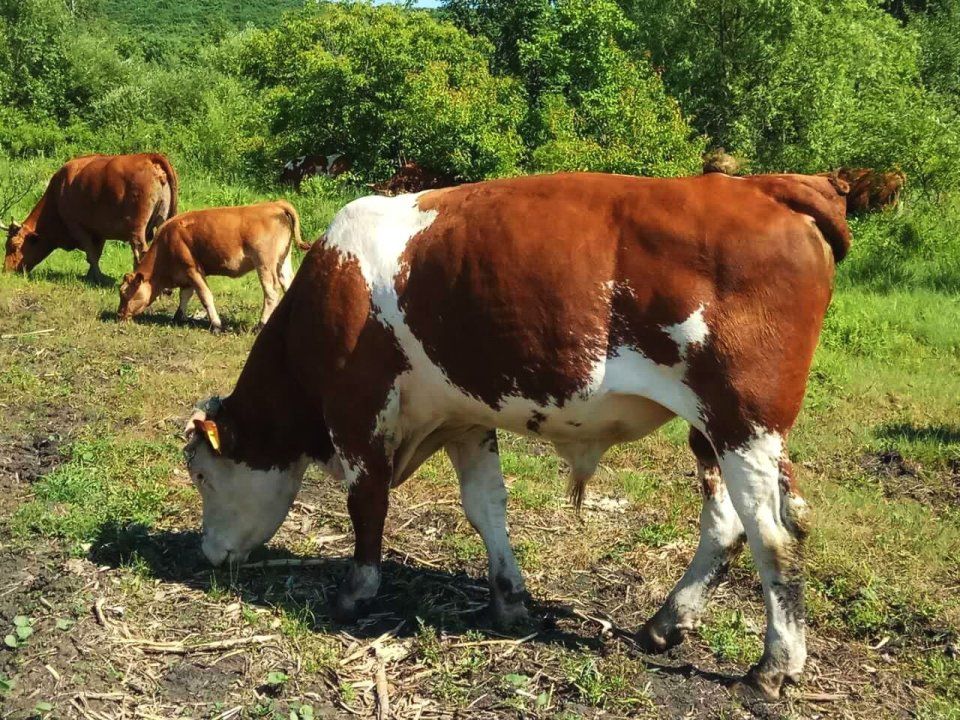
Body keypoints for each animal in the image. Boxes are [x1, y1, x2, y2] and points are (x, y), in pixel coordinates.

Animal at [3, 153, 179, 282]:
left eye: (14, 246)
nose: (5, 271)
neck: (59, 193)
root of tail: (148, 157)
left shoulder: (76, 226)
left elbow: (91, 254)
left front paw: (98, 277)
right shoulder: (98, 231)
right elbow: (97, 253)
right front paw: (91, 275)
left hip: (137, 228)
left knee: (140, 250)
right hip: (162, 219)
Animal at [118, 201, 304, 334]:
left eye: (125, 293)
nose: (119, 314)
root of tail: (274, 204)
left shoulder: (193, 269)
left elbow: (205, 296)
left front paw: (216, 325)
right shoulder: (185, 274)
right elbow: (185, 295)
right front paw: (178, 317)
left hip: (264, 263)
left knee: (271, 293)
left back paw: (260, 325)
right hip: (282, 262)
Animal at [184, 172, 852, 700]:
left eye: (200, 475)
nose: (208, 555)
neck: (330, 293)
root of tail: (762, 186)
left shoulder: (357, 413)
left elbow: (367, 504)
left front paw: (356, 590)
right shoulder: (465, 416)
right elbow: (486, 507)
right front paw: (507, 598)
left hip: (745, 423)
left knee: (774, 535)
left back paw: (773, 666)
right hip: (712, 431)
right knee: (727, 523)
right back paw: (667, 622)